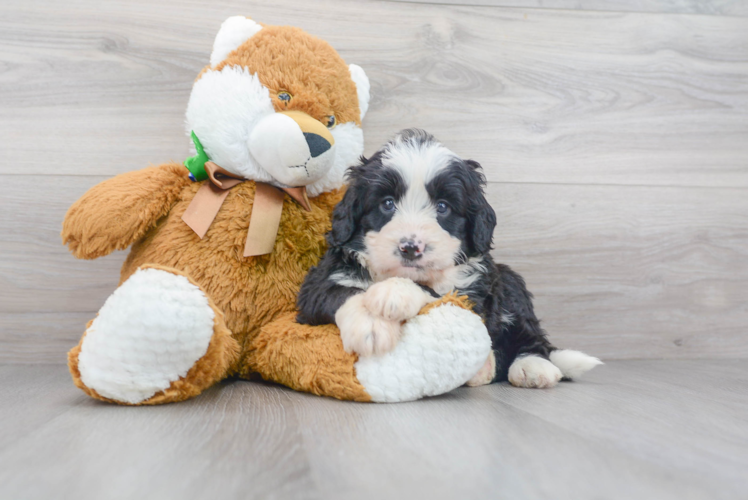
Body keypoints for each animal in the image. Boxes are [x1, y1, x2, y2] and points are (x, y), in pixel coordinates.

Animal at [296, 128, 600, 386]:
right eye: (387, 204)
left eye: (442, 207)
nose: (411, 247)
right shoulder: (318, 283)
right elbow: (340, 292)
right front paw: (370, 325)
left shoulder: (473, 292)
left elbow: (435, 293)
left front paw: (394, 293)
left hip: (510, 280)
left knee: (530, 335)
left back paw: (531, 366)